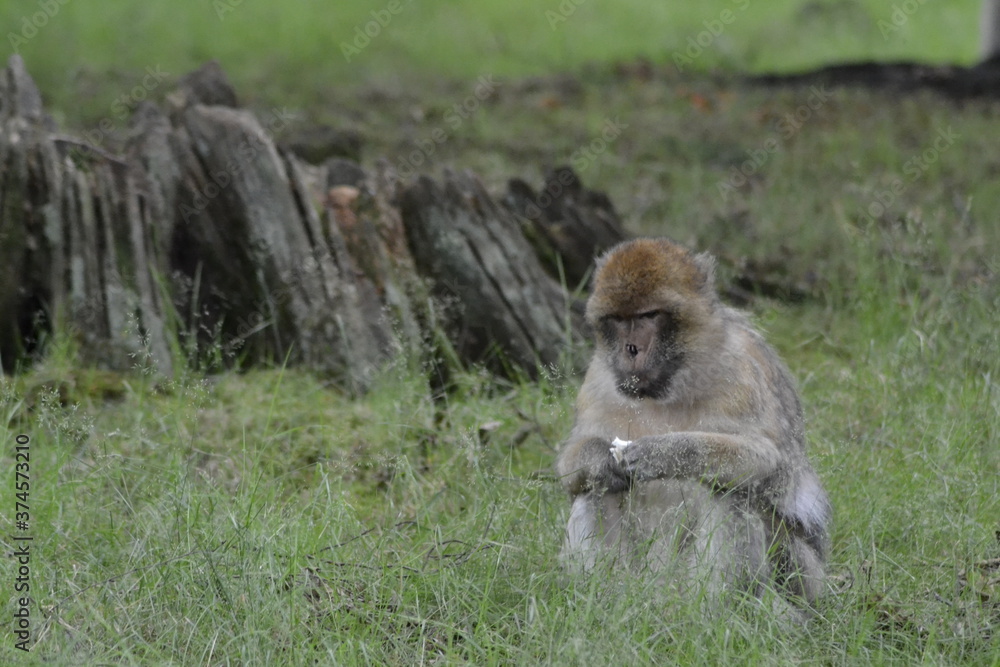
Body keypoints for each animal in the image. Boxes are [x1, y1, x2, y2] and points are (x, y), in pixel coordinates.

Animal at [555, 238, 830, 607]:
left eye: (649, 315)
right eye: (618, 319)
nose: (631, 349)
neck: (672, 383)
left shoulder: (744, 368)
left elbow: (771, 464)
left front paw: (665, 452)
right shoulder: (597, 378)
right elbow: (572, 467)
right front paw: (600, 458)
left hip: (800, 582)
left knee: (731, 491)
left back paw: (713, 612)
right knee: (595, 489)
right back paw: (601, 600)